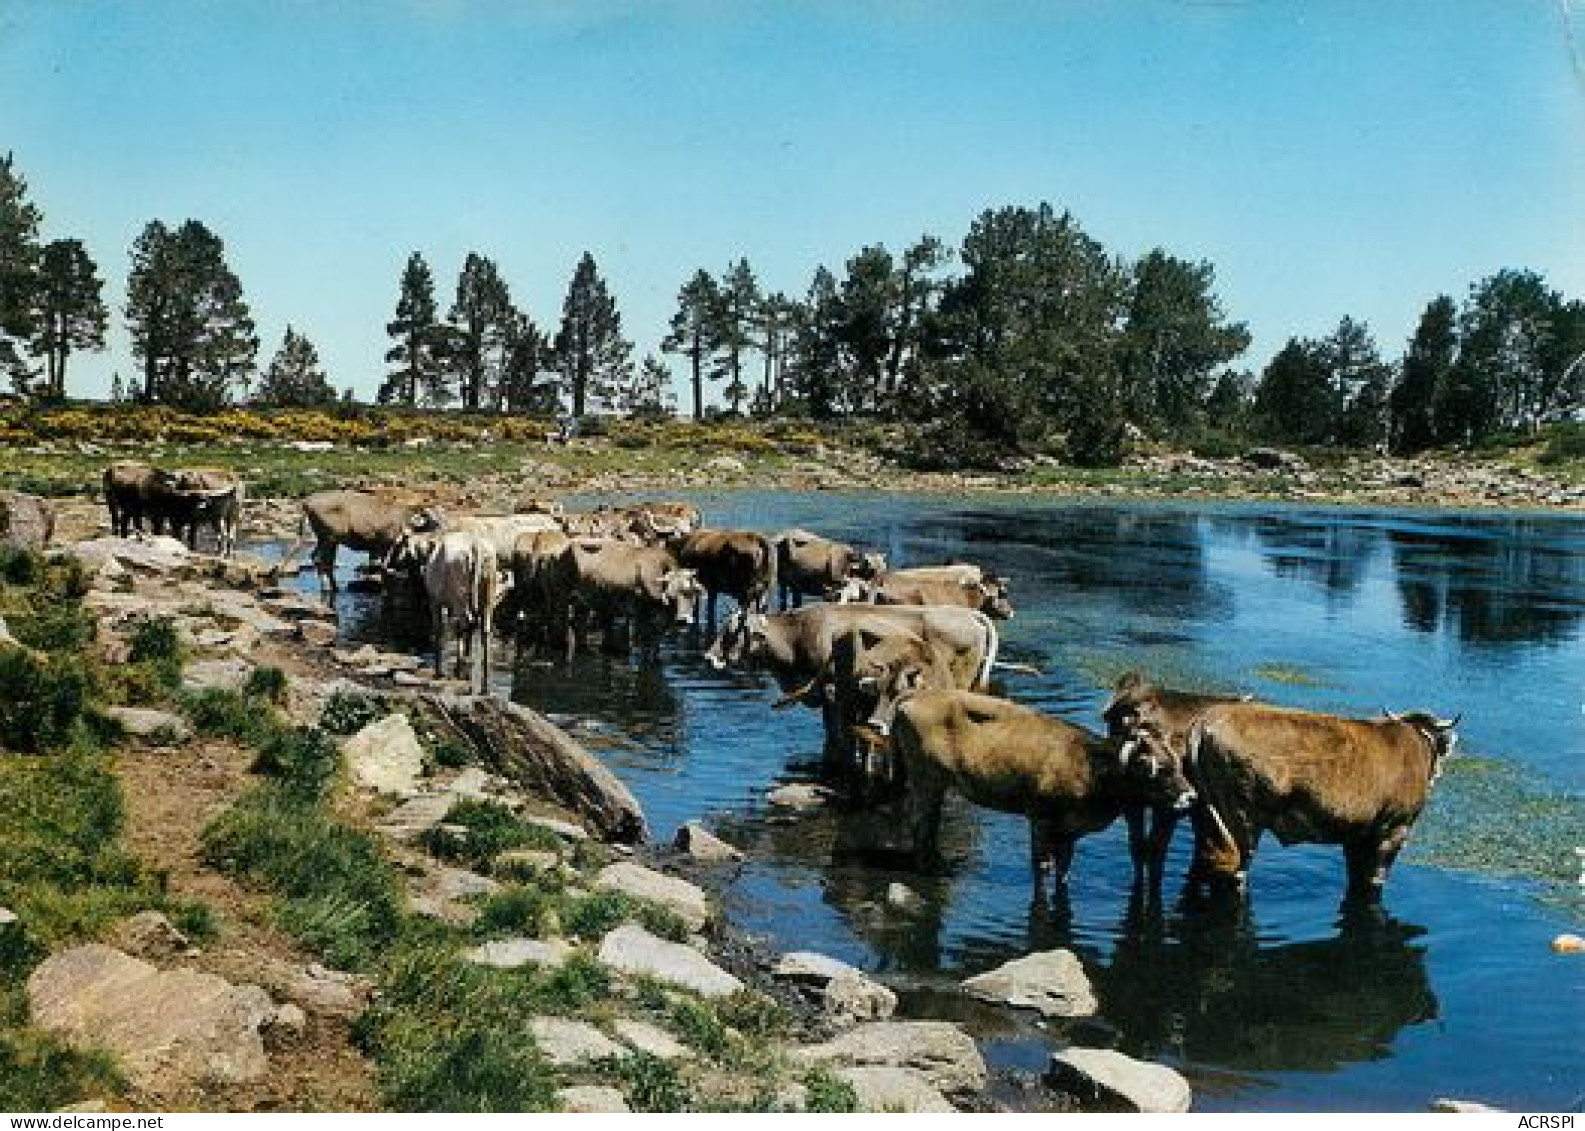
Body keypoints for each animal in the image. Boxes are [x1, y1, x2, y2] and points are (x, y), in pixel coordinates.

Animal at [900, 687, 1191, 887]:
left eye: (1178, 764)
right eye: (1158, 768)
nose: (1190, 795)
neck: (1089, 764)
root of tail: (916, 696)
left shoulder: (1070, 833)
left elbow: (1064, 869)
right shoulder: (1040, 820)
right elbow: (1042, 867)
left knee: (929, 822)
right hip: (925, 779)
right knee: (920, 822)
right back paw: (930, 869)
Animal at [1185, 703, 1451, 899]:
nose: (1438, 774)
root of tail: (1207, 720)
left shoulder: (1356, 834)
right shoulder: (1395, 829)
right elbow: (1374, 880)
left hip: (1207, 814)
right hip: (1244, 820)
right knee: (1237, 874)